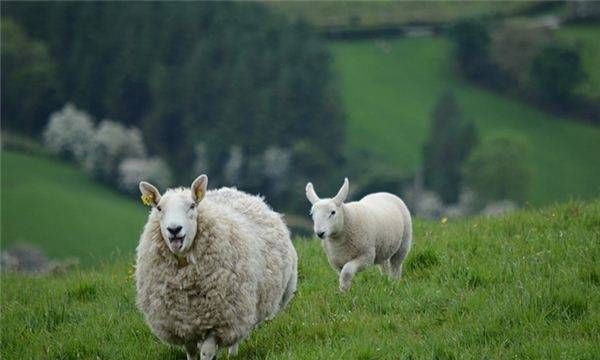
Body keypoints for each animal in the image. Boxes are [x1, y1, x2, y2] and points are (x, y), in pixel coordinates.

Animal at [135, 174, 296, 360]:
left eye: (192, 205)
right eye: (159, 208)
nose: (174, 229)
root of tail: (235, 191)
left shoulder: (219, 320)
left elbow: (207, 352)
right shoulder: (182, 322)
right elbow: (191, 352)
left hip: (242, 307)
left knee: (236, 336)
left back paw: (232, 354)